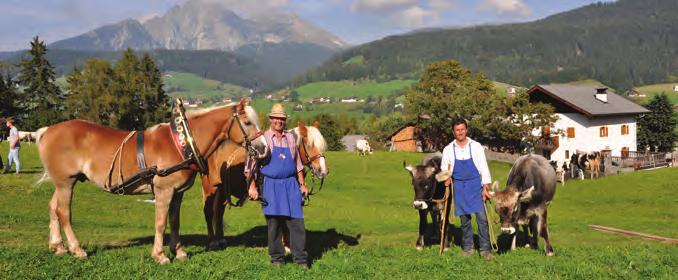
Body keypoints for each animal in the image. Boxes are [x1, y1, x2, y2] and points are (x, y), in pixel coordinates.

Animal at [35, 99, 266, 264]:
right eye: (247, 122)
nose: (264, 148)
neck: (181, 144)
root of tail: (46, 131)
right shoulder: (164, 189)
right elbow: (161, 222)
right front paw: (160, 255)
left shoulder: (178, 192)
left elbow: (174, 221)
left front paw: (178, 252)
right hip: (66, 182)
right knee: (64, 212)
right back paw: (76, 249)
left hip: (63, 183)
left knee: (52, 207)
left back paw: (58, 246)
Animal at [202, 120, 330, 249]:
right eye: (309, 145)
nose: (323, 171)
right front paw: (284, 246)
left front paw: (287, 244)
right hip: (210, 188)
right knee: (208, 211)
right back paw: (213, 241)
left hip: (223, 191)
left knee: (219, 211)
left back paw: (220, 239)